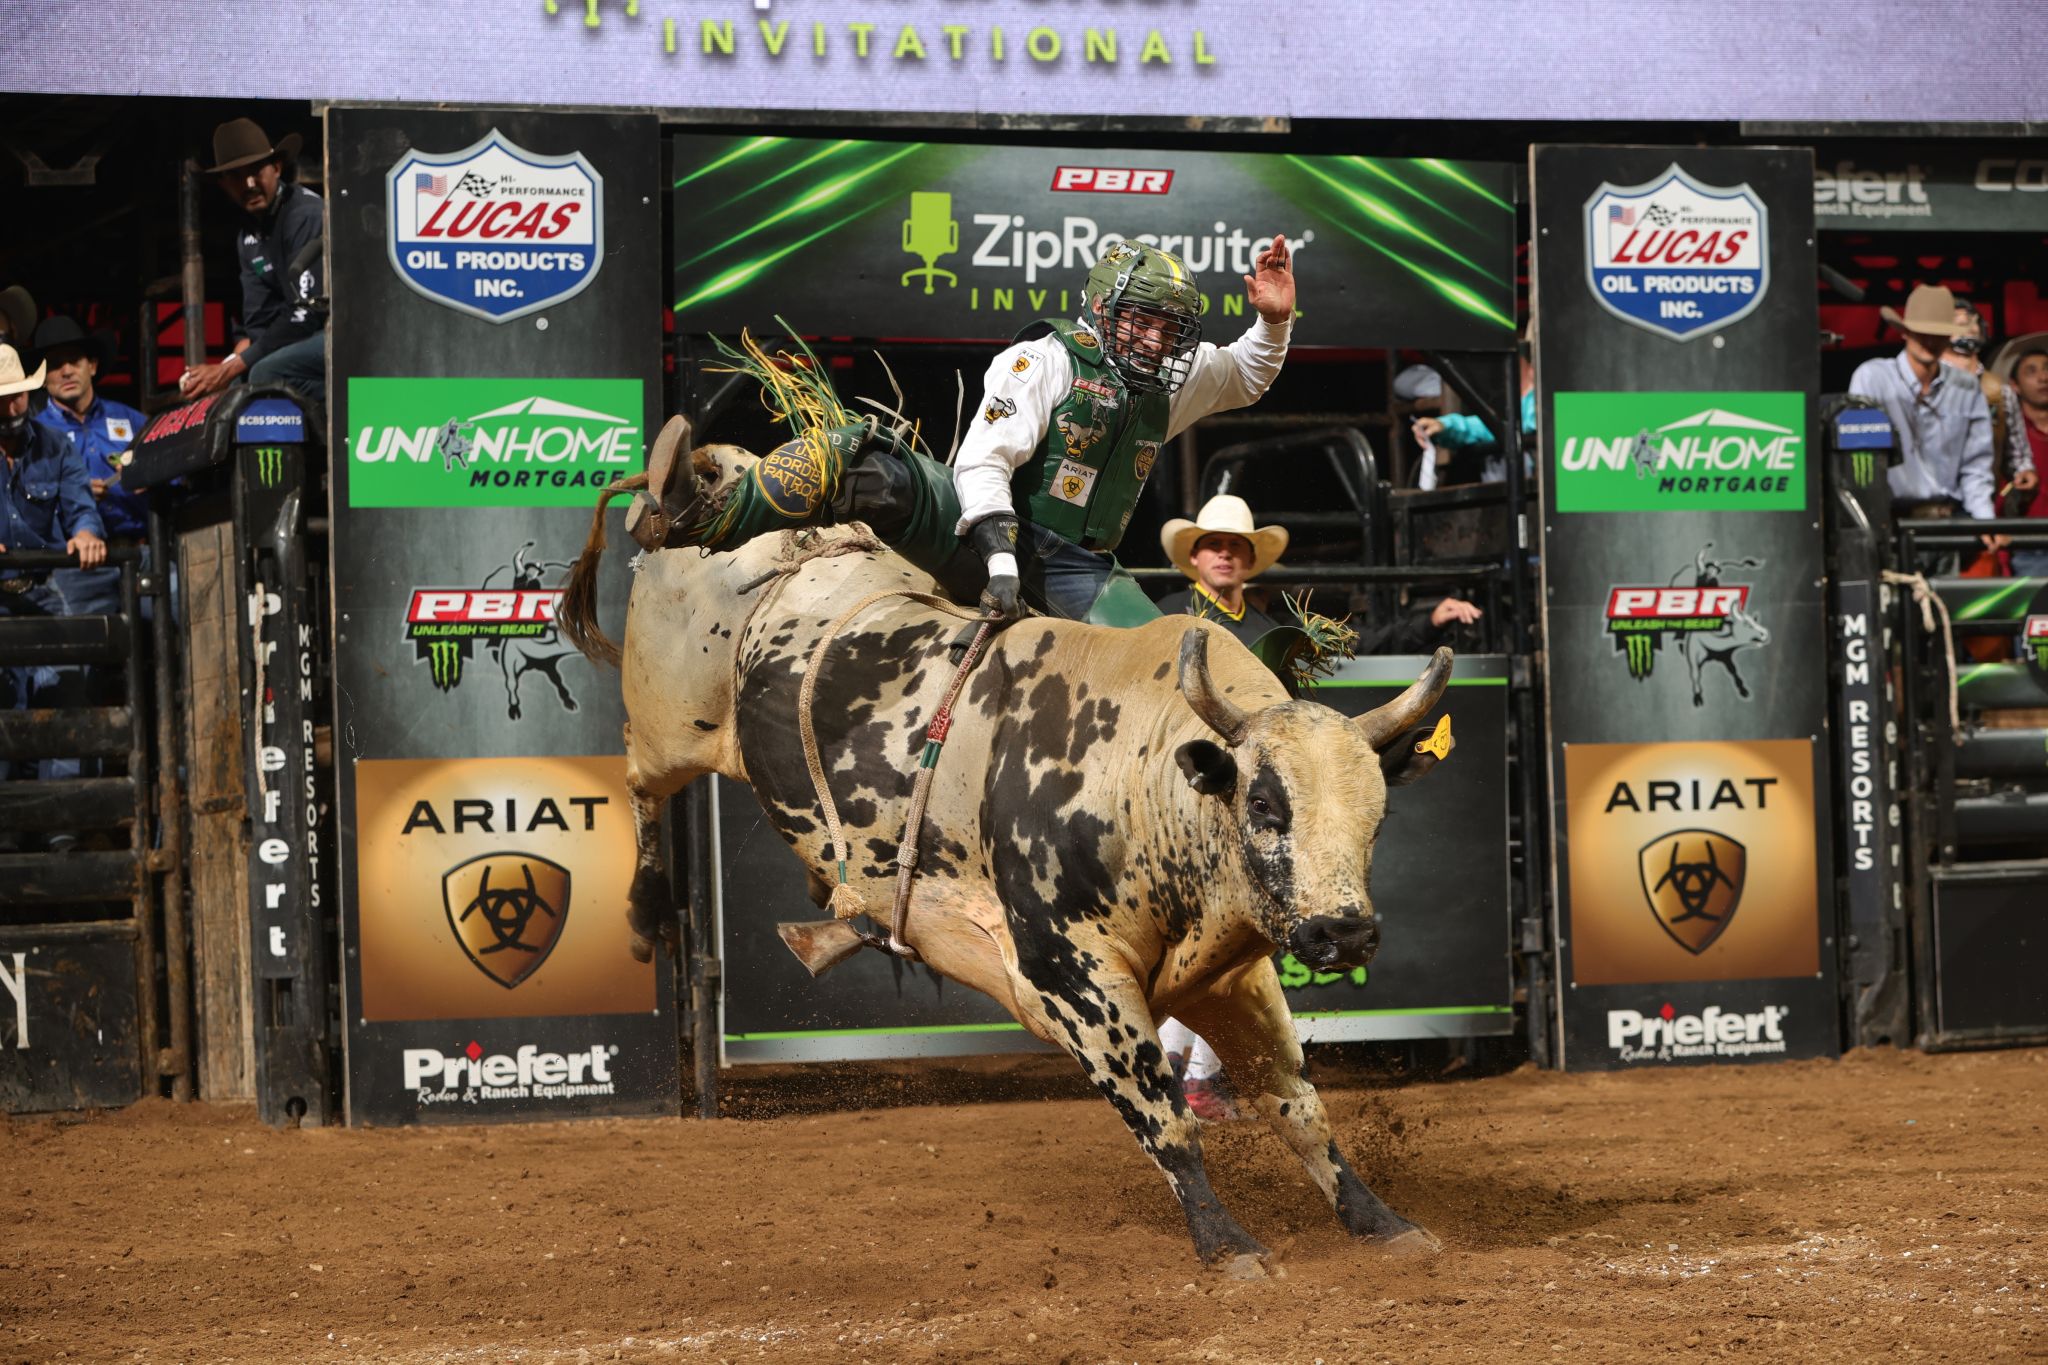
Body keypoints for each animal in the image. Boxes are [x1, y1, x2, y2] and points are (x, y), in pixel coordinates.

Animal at [561, 439, 1458, 1285]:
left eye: (1378, 816)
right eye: (1265, 804)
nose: (1344, 932)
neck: (1138, 774)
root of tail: (736, 475)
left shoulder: (1229, 973)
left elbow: (1297, 1105)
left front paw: (1382, 1221)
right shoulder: (1073, 978)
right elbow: (1164, 1115)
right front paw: (1230, 1244)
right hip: (672, 717)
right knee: (637, 776)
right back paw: (644, 913)